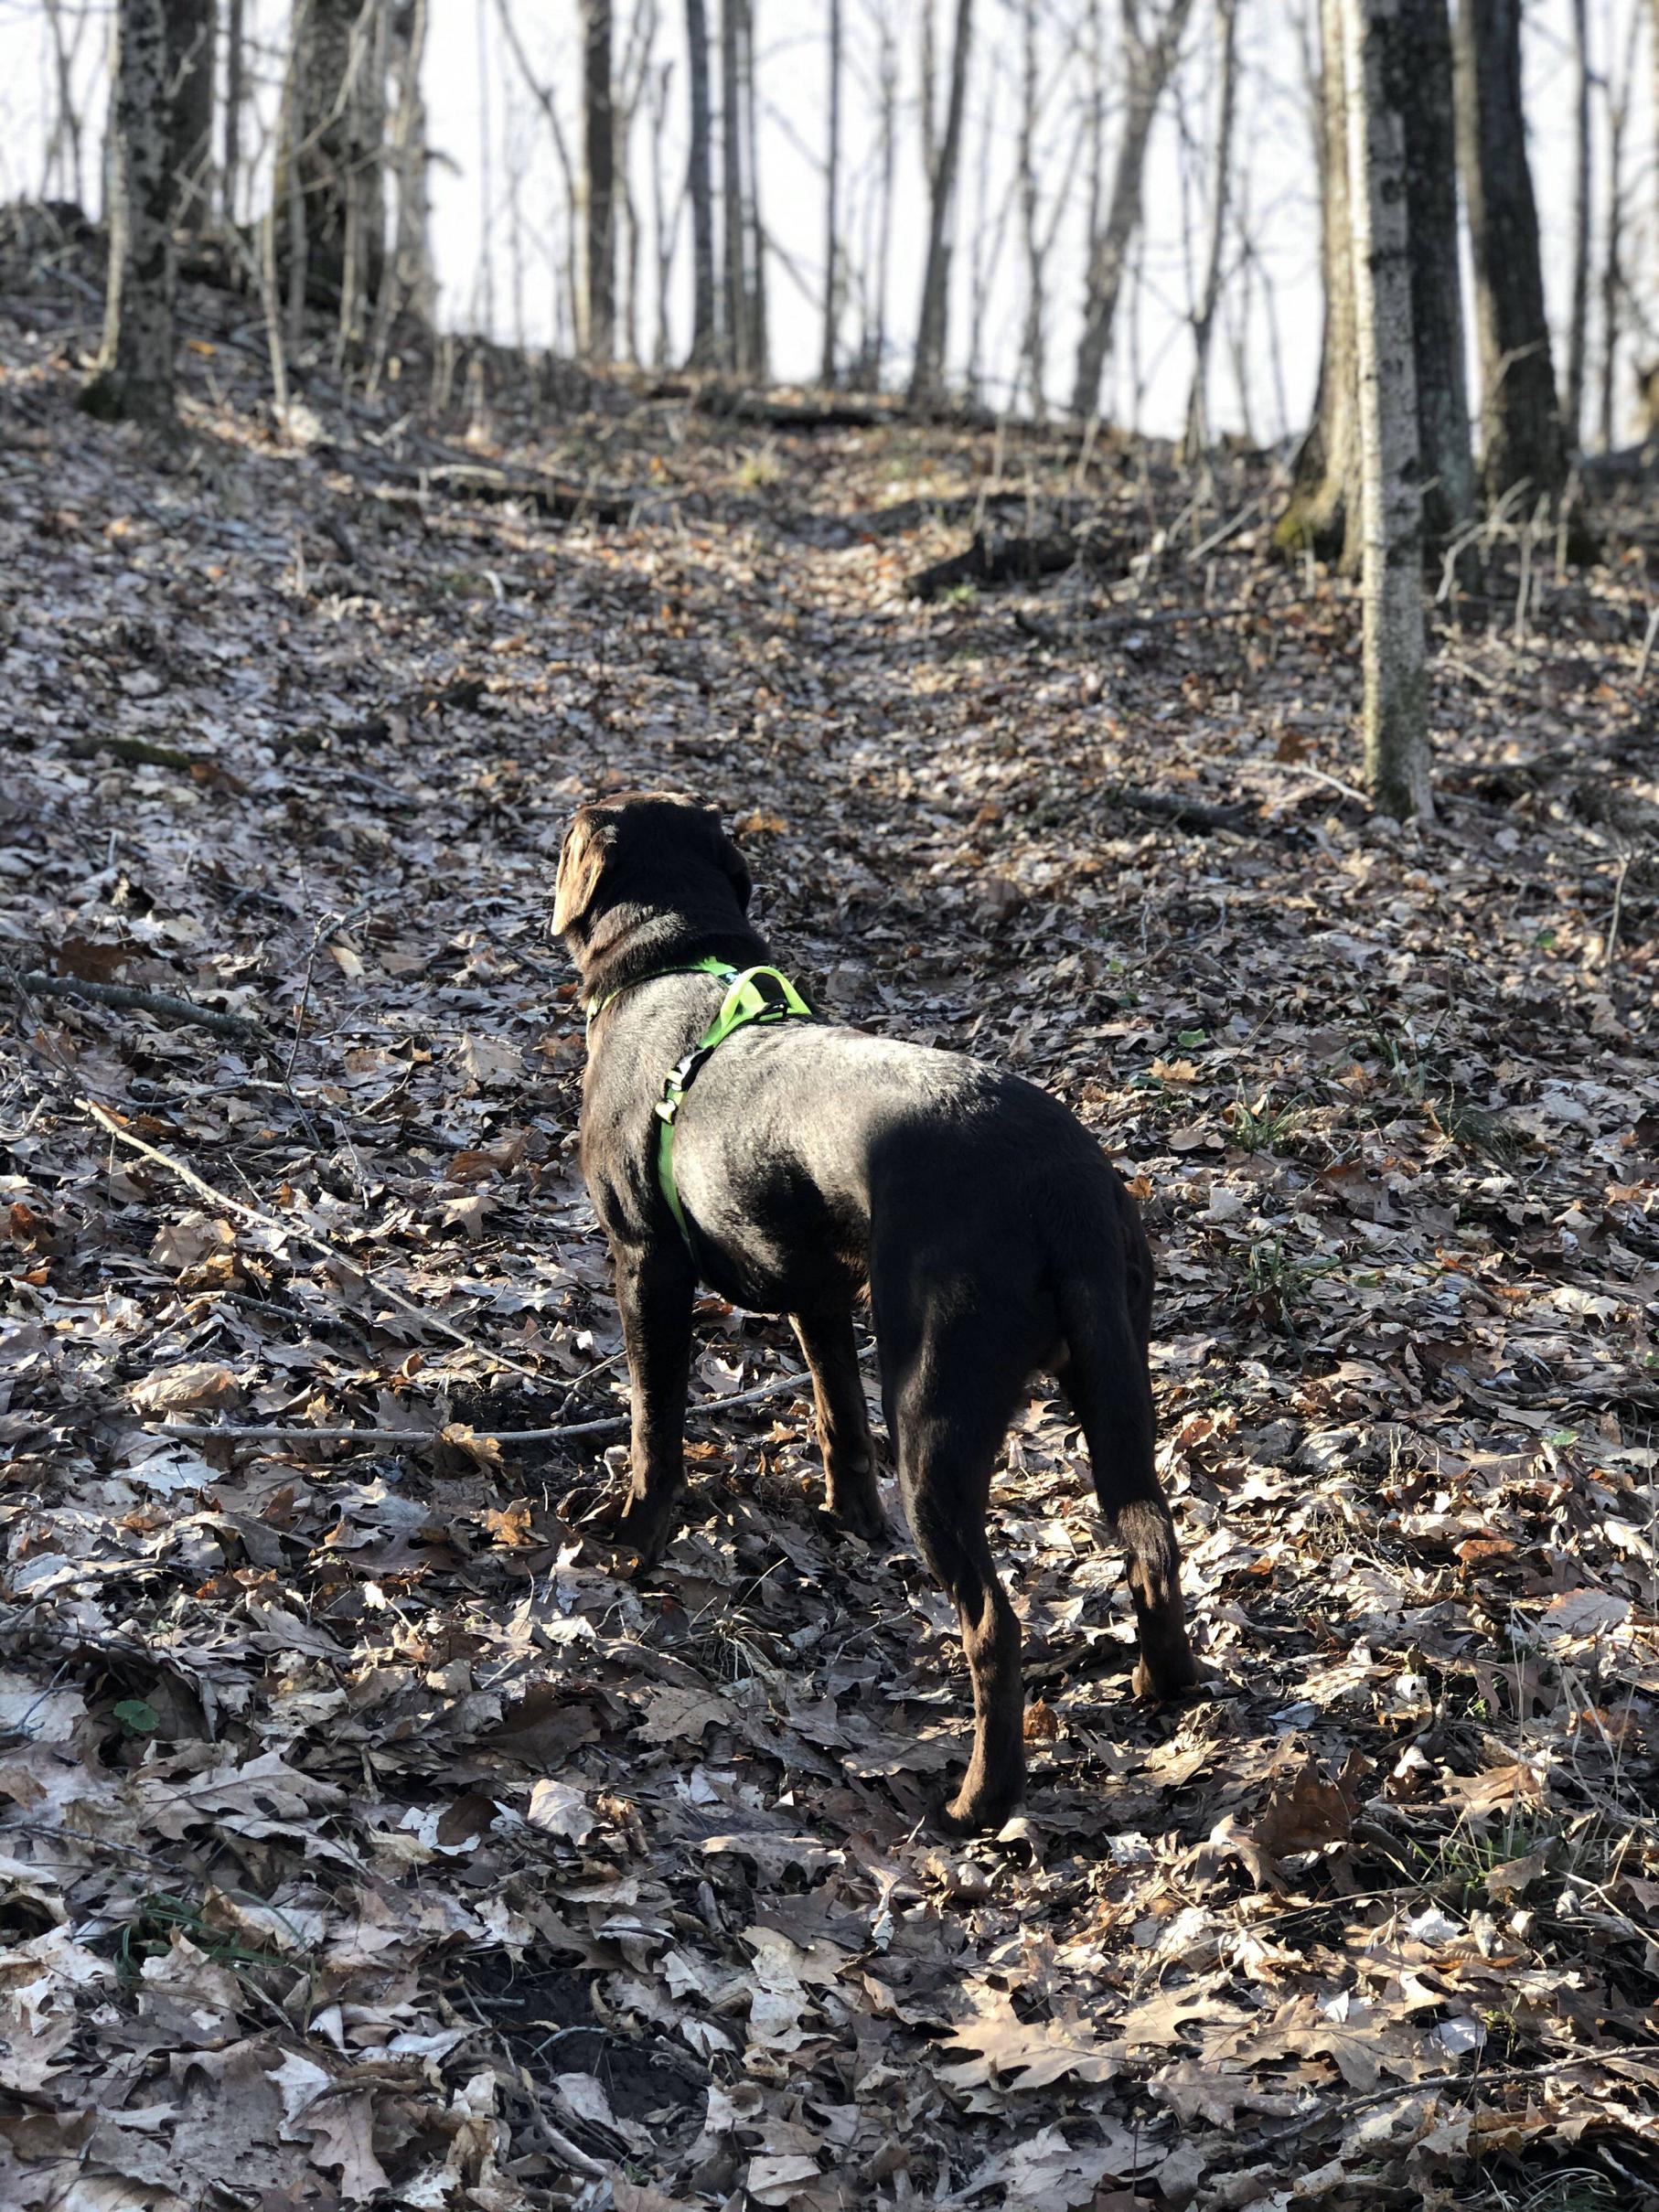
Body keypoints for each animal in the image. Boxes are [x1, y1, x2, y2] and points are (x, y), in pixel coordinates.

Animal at [555, 796, 1194, 1831]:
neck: (675, 954)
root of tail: (1060, 1190)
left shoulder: (645, 1260)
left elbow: (657, 1421)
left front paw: (631, 1537)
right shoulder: (819, 1290)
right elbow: (836, 1417)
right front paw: (849, 1522)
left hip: (933, 1410)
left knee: (992, 1622)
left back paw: (980, 1799)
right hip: (1115, 1384)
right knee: (1152, 1540)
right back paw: (1164, 1686)